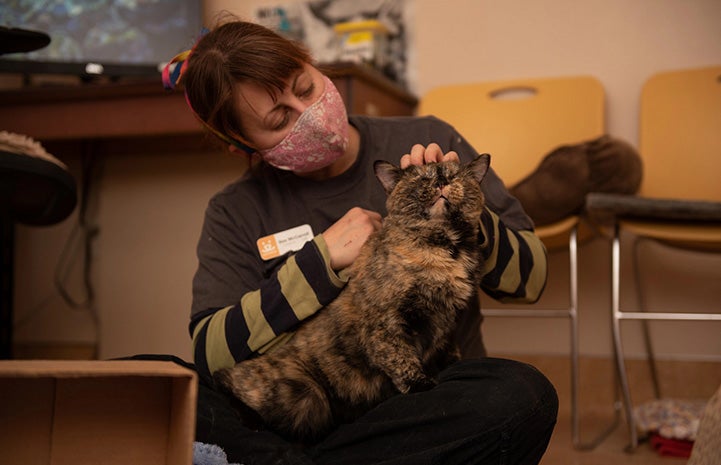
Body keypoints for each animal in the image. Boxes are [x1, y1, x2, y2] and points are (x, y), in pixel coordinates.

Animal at [215, 153, 490, 442]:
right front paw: (420, 384)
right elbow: (399, 356)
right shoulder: (385, 322)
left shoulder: (447, 319)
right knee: (223, 381)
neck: (446, 249)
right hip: (304, 396)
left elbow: (447, 344)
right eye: (422, 179)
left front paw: (454, 362)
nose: (440, 183)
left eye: (453, 176)